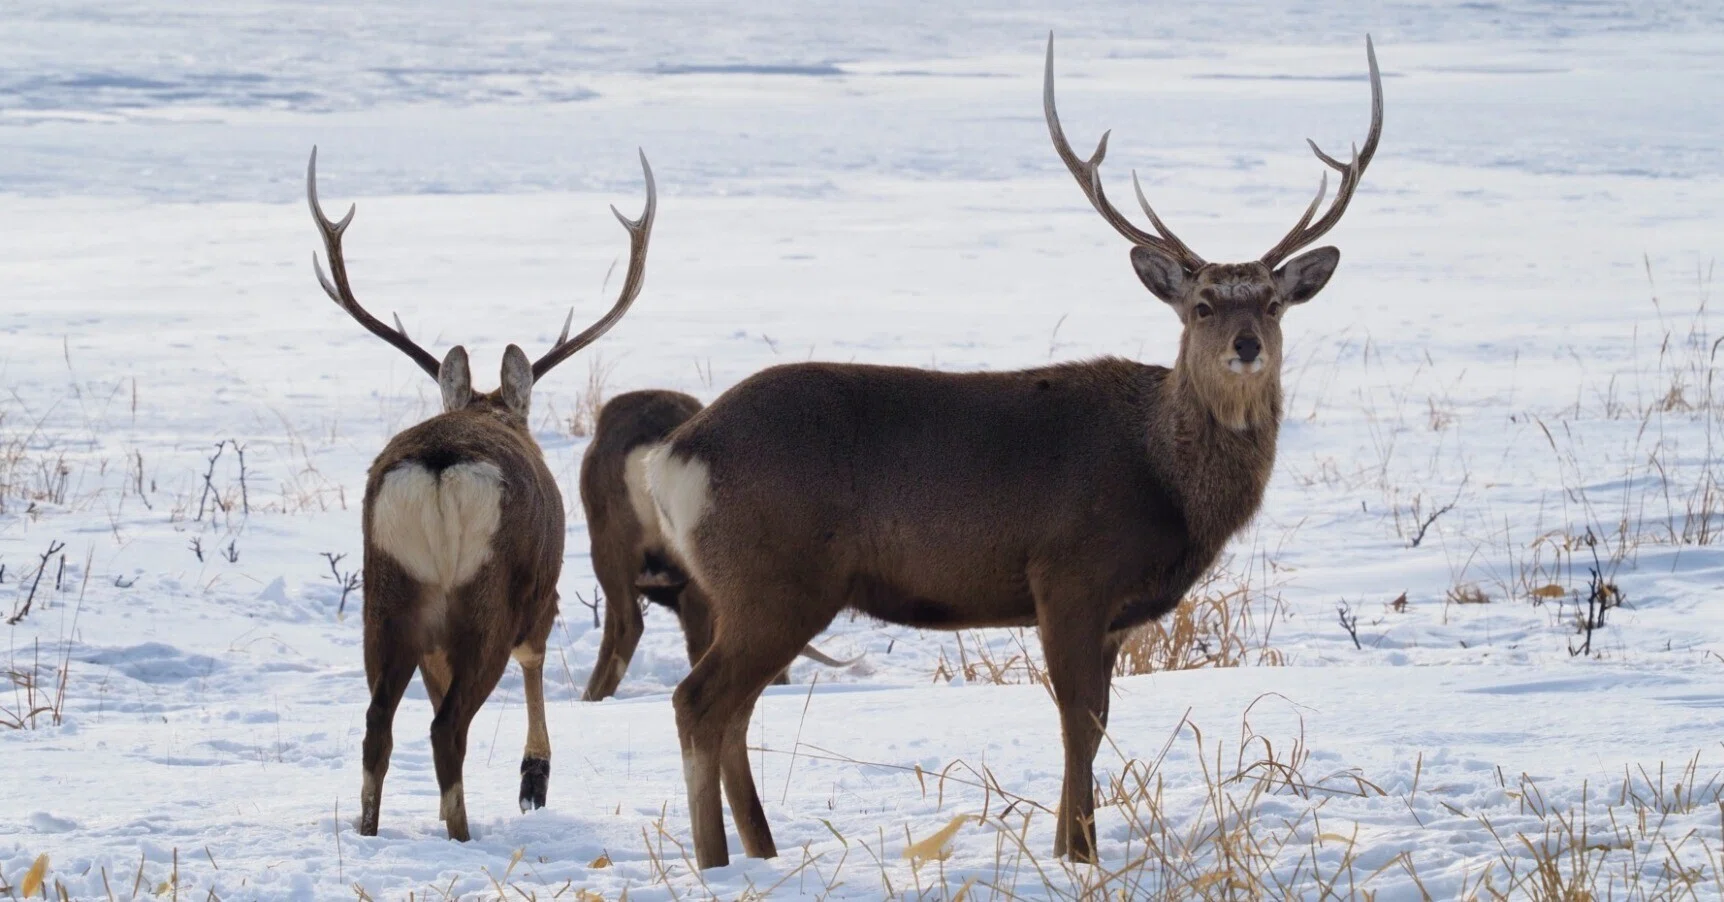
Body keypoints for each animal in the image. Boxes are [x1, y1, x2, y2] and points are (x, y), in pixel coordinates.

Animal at [305, 146, 657, 841]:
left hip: (386, 592)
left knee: (378, 723)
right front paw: (534, 779)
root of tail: (440, 466)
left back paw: (372, 830)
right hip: (487, 589)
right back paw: (461, 833)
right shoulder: (542, 591)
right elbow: (535, 659)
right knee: (448, 725)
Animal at [633, 34, 1382, 868]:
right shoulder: (1069, 572)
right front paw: (1080, 855)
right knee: (699, 701)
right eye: (1202, 305)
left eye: (1274, 303)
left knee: (733, 710)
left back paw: (761, 853)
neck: (1167, 479)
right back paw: (716, 862)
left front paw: (1068, 846)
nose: (1247, 345)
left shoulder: (1109, 612)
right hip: (775, 575)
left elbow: (1094, 722)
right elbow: (1078, 721)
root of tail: (675, 454)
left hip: (758, 588)